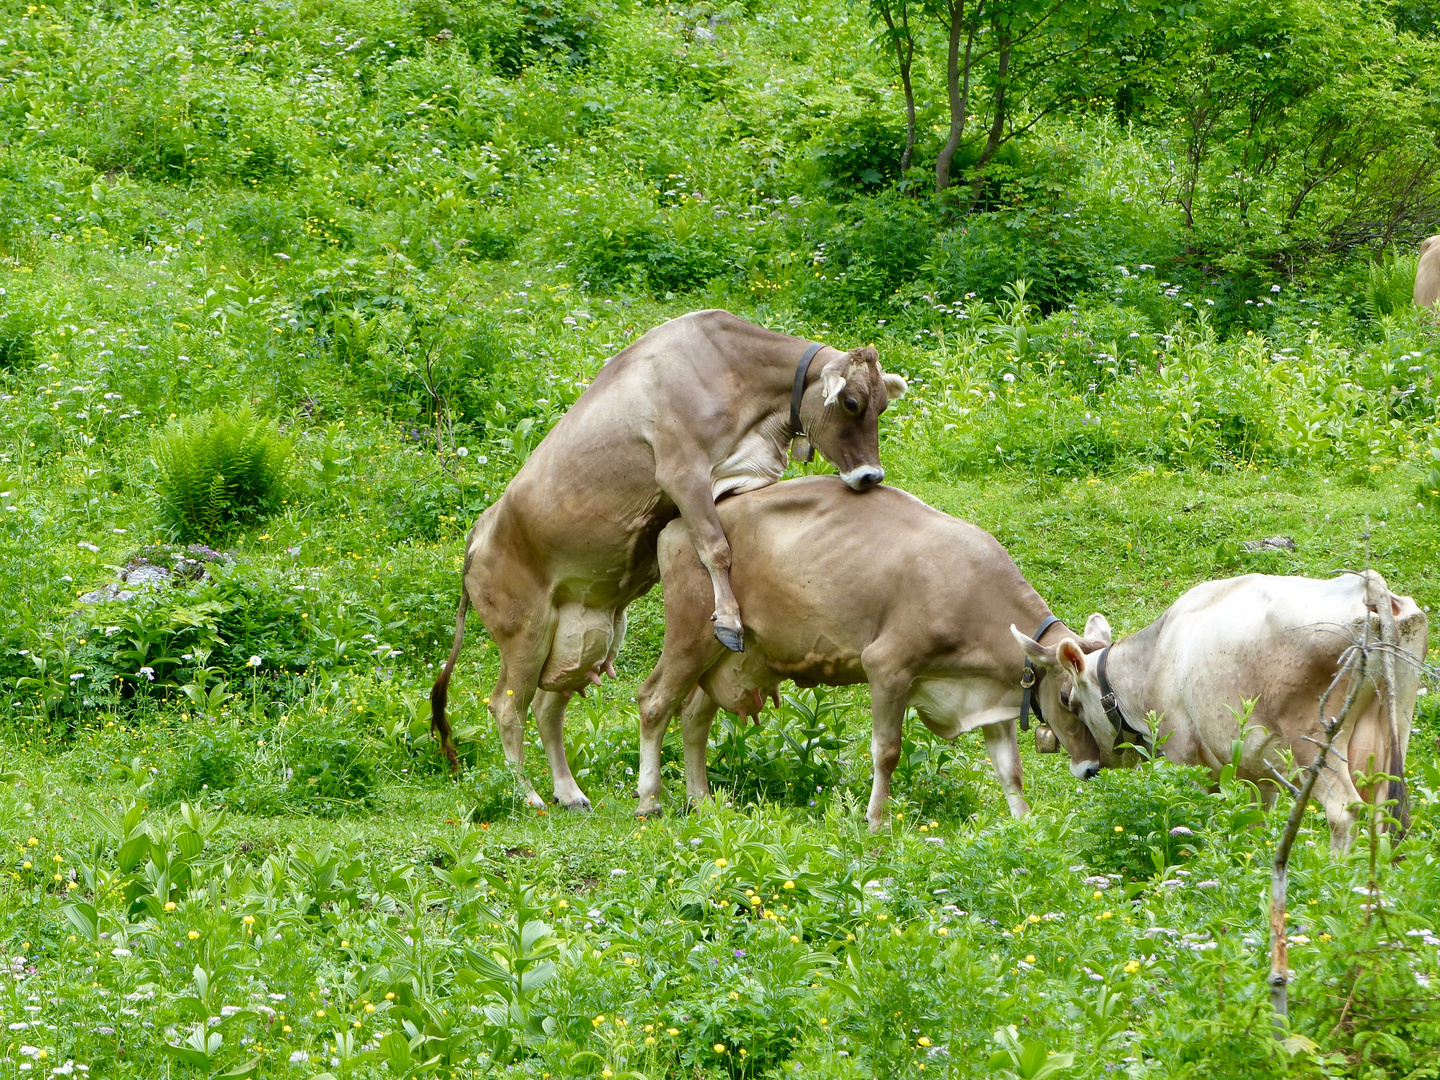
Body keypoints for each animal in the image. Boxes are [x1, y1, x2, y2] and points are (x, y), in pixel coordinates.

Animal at [426, 308, 904, 806]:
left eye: (882, 407)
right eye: (851, 402)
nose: (871, 476)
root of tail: (476, 536)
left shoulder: (737, 478)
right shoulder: (681, 472)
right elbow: (715, 547)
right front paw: (728, 621)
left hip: (583, 634)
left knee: (546, 705)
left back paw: (569, 792)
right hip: (524, 632)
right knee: (506, 706)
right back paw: (530, 797)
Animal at [636, 478, 1094, 835]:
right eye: (1068, 699)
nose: (1091, 768)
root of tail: (678, 525)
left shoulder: (989, 693)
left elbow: (1009, 767)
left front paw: (1025, 826)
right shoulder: (888, 664)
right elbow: (887, 751)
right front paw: (876, 821)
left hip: (729, 656)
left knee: (693, 716)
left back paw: (701, 801)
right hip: (691, 634)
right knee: (654, 702)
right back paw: (649, 801)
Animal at [1013, 576, 1428, 852]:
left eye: (1068, 700)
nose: (1085, 768)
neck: (1154, 658)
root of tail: (1365, 587)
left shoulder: (1183, 756)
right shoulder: (1259, 771)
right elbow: (1254, 821)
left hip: (1316, 741)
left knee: (1343, 811)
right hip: (1390, 732)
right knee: (1384, 813)